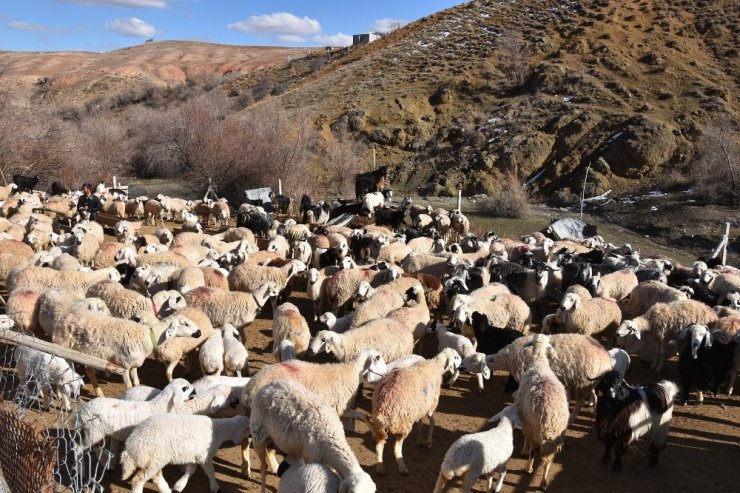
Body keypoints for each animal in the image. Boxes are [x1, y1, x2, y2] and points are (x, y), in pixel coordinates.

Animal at [120, 414, 249, 492]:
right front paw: (215, 488)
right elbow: (211, 472)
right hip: (154, 458)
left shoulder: (193, 455)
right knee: (138, 479)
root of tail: (131, 446)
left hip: (155, 459)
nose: (251, 436)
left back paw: (166, 490)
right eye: (247, 429)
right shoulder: (205, 456)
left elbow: (191, 470)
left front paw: (179, 486)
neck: (218, 431)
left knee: (156, 476)